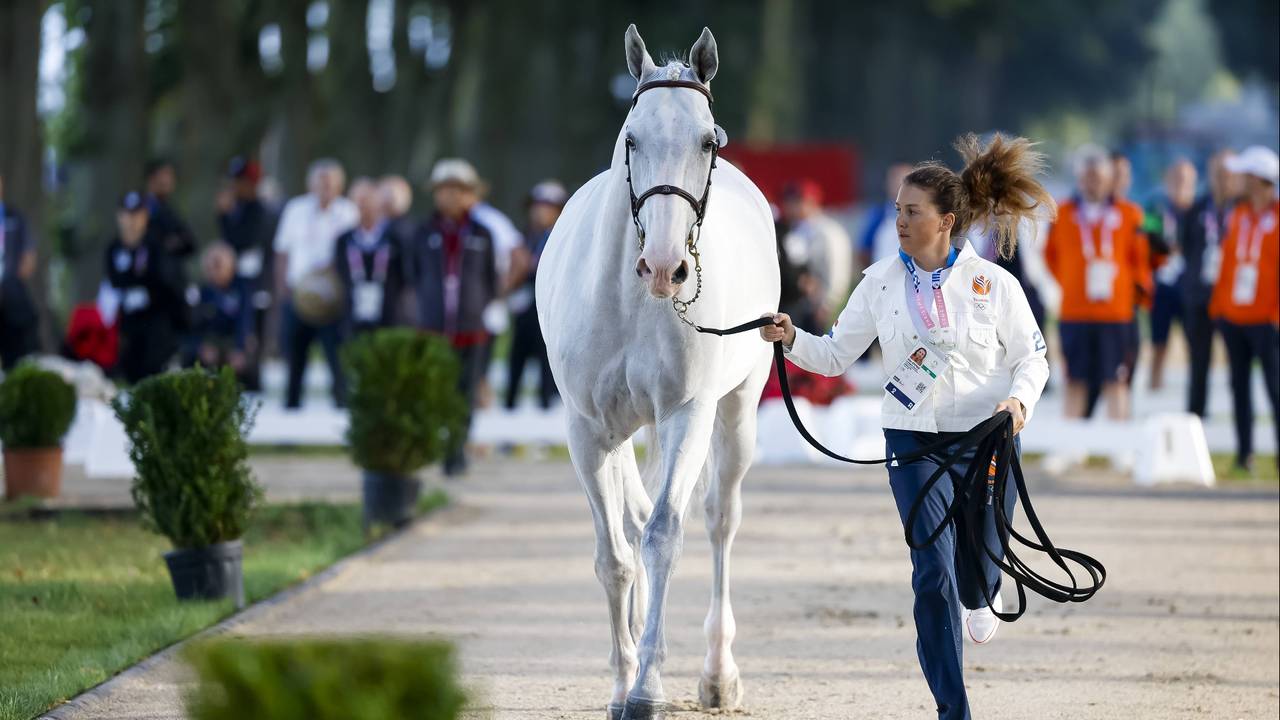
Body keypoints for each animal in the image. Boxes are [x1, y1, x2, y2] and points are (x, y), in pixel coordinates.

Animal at [537, 24, 780, 720]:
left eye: (708, 140)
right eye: (631, 138)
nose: (666, 268)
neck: (629, 301)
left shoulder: (685, 414)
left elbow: (667, 535)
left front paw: (646, 688)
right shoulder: (589, 430)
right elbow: (615, 556)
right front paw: (623, 683)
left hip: (737, 411)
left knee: (719, 519)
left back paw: (717, 675)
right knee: (634, 521)